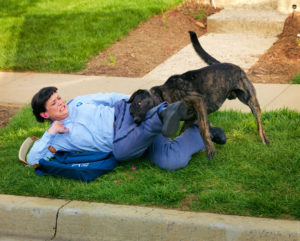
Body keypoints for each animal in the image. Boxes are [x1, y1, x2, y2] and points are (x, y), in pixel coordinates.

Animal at [127, 31, 270, 159]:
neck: (163, 95)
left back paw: (264, 139)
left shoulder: (198, 101)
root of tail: (235, 67)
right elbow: (182, 133)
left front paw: (210, 148)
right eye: (131, 113)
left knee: (259, 122)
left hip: (250, 100)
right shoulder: (190, 118)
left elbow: (203, 128)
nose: (136, 121)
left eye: (139, 103)